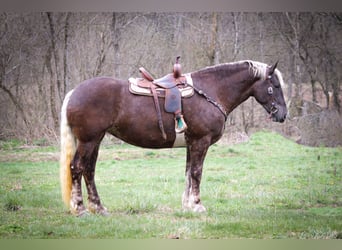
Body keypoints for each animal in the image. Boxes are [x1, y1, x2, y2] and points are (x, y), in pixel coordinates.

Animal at [60, 59, 288, 216]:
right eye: (274, 86)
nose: (283, 114)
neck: (211, 91)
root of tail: (74, 92)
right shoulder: (201, 142)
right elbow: (197, 173)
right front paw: (197, 205)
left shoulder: (191, 144)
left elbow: (188, 173)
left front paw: (187, 205)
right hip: (89, 140)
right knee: (77, 167)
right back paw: (80, 208)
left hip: (95, 140)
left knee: (89, 170)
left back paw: (98, 207)